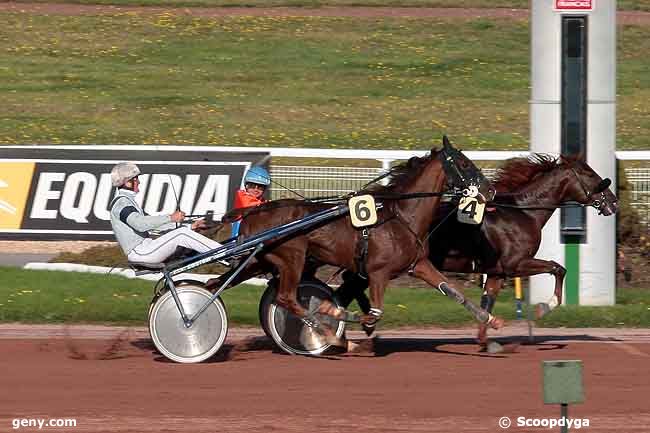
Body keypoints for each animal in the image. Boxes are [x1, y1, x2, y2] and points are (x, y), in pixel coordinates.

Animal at [223, 145, 502, 348]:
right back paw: (329, 334)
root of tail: (254, 212)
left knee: (220, 284)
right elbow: (374, 312)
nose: (491, 190)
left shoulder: (419, 265)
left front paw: (491, 320)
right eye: (464, 163)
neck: (400, 216)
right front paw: (333, 313)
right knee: (286, 298)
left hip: (259, 261)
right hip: (293, 258)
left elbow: (453, 291)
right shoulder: (378, 272)